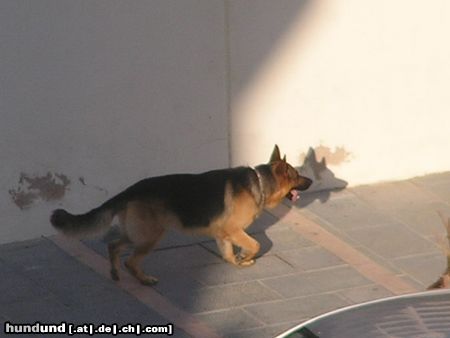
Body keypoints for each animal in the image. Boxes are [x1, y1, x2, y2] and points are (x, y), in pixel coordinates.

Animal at [48, 145, 310, 286]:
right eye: (297, 176)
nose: (310, 181)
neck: (260, 182)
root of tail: (130, 190)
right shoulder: (233, 230)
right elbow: (255, 244)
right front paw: (245, 257)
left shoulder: (223, 233)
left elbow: (228, 253)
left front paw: (237, 261)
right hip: (151, 236)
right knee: (130, 260)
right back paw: (144, 280)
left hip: (137, 234)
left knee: (114, 246)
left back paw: (115, 273)